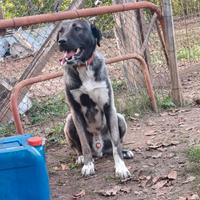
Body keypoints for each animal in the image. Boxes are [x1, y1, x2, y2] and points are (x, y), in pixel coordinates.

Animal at [57, 18, 134, 179]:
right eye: (60, 31)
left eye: (77, 28)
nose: (61, 41)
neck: (83, 67)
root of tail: (99, 150)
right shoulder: (75, 112)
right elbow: (84, 145)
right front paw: (88, 165)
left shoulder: (109, 107)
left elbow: (116, 143)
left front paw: (121, 168)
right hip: (69, 121)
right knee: (79, 148)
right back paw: (81, 157)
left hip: (120, 117)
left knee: (115, 145)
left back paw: (125, 151)